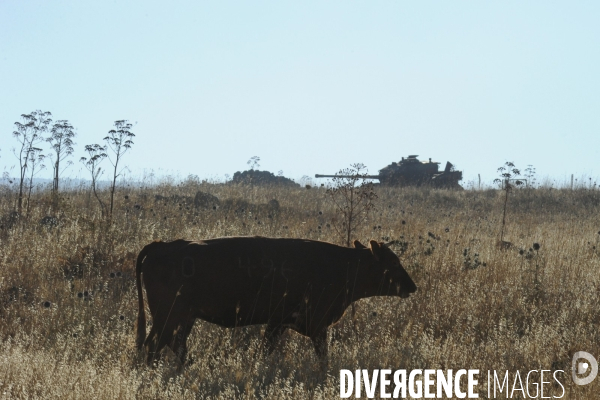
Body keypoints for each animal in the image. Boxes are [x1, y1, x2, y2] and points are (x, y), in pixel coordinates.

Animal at [136, 236, 418, 368]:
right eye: (394, 263)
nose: (412, 286)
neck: (342, 265)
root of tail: (162, 245)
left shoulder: (279, 323)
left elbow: (265, 350)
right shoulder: (313, 325)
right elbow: (322, 357)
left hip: (181, 319)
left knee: (173, 345)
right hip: (170, 317)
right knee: (155, 345)